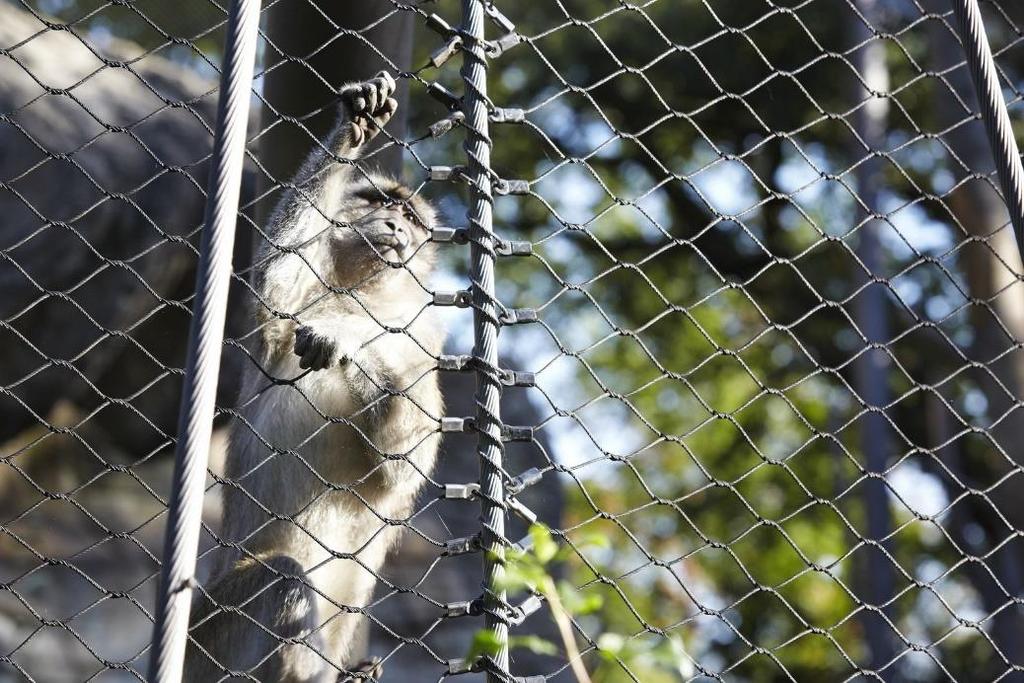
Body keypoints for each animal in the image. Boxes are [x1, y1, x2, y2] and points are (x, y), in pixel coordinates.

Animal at [183, 72, 444, 679]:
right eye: (378, 202)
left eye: (412, 220)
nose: (395, 226)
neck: (361, 296)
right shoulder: (283, 324)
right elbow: (278, 283)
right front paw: (352, 131)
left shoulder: (426, 347)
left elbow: (400, 469)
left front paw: (346, 345)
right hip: (214, 633)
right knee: (280, 575)